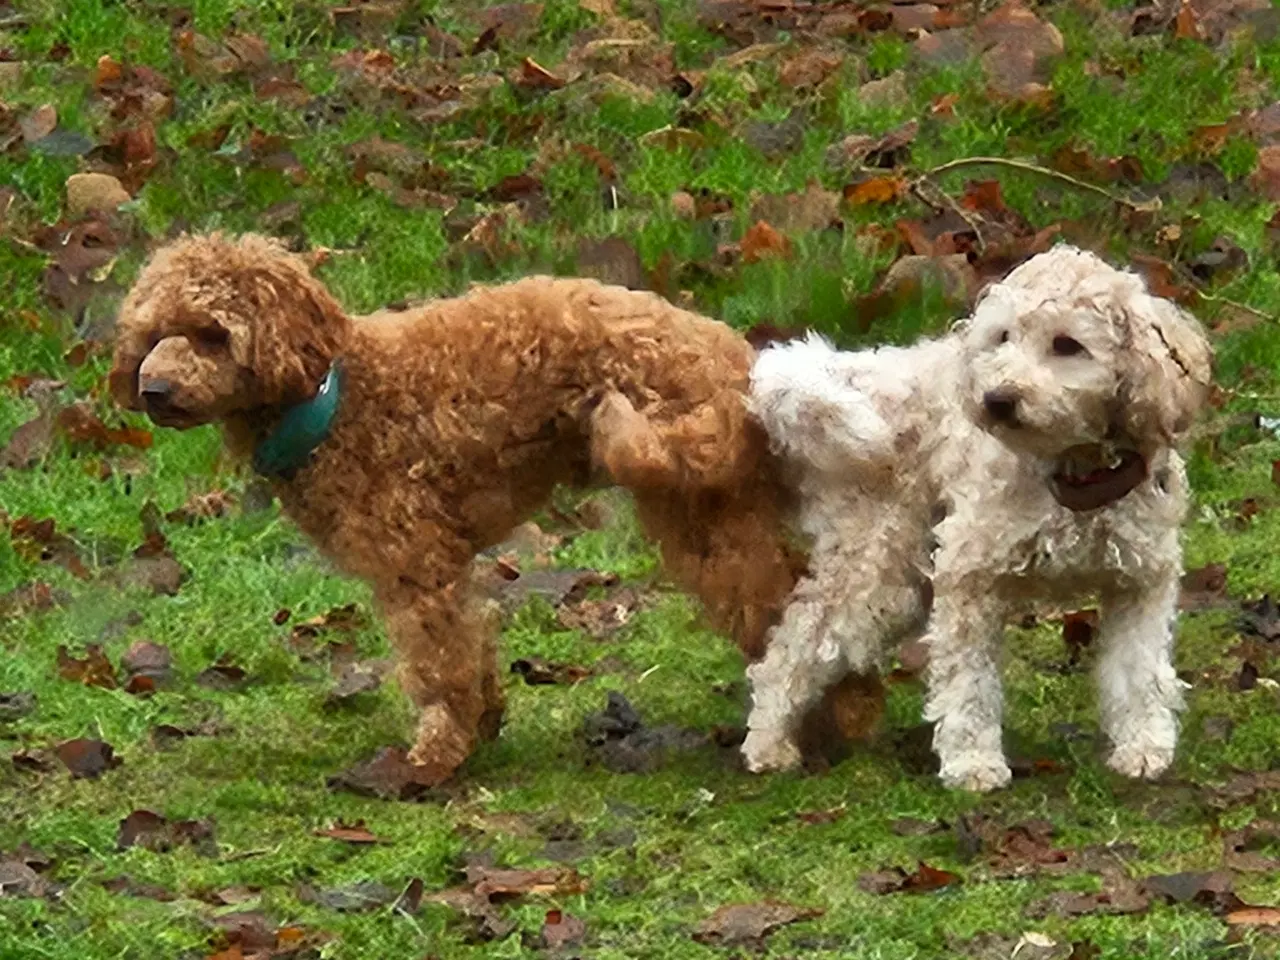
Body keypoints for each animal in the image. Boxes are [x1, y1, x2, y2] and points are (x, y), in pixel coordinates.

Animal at [110, 236, 875, 783]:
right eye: (151, 334)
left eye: (212, 333)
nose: (153, 389)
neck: (333, 395)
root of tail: (737, 363)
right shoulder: (446, 566)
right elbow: (471, 651)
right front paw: (480, 729)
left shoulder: (414, 564)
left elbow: (437, 666)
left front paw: (434, 759)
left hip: (701, 515)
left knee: (794, 613)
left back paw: (838, 718)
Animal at [742, 244, 1208, 793]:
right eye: (1003, 337)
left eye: (1068, 344)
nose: (997, 400)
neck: (1071, 471)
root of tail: (882, 375)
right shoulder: (970, 578)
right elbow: (968, 682)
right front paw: (972, 762)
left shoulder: (1141, 583)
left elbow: (1139, 672)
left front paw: (1142, 747)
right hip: (880, 569)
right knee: (793, 646)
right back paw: (768, 742)